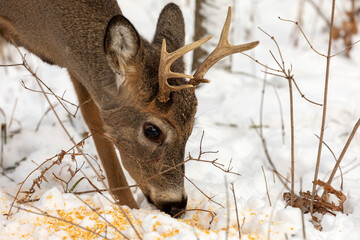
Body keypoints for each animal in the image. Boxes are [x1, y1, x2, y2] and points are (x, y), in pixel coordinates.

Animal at [0, 0, 258, 218]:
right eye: (152, 131)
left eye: (191, 129)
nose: (176, 206)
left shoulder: (78, 71)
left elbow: (96, 124)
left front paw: (129, 209)